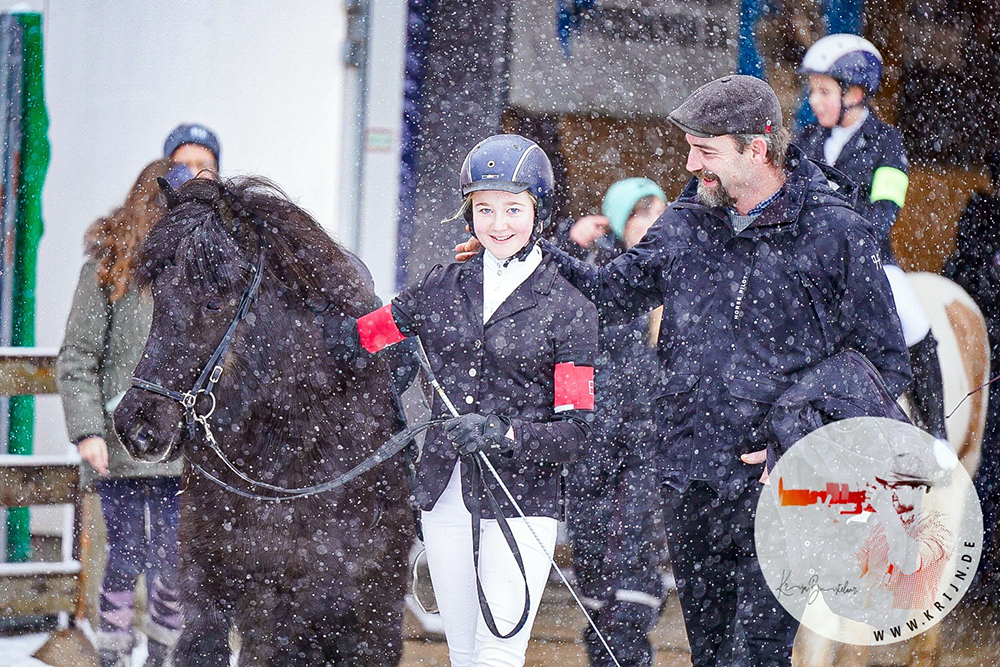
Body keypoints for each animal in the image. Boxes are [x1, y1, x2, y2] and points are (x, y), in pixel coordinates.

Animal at [115, 177, 412, 667]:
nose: (135, 426)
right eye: (158, 297)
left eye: (213, 302)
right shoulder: (208, 582)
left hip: (371, 611)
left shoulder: (305, 601)